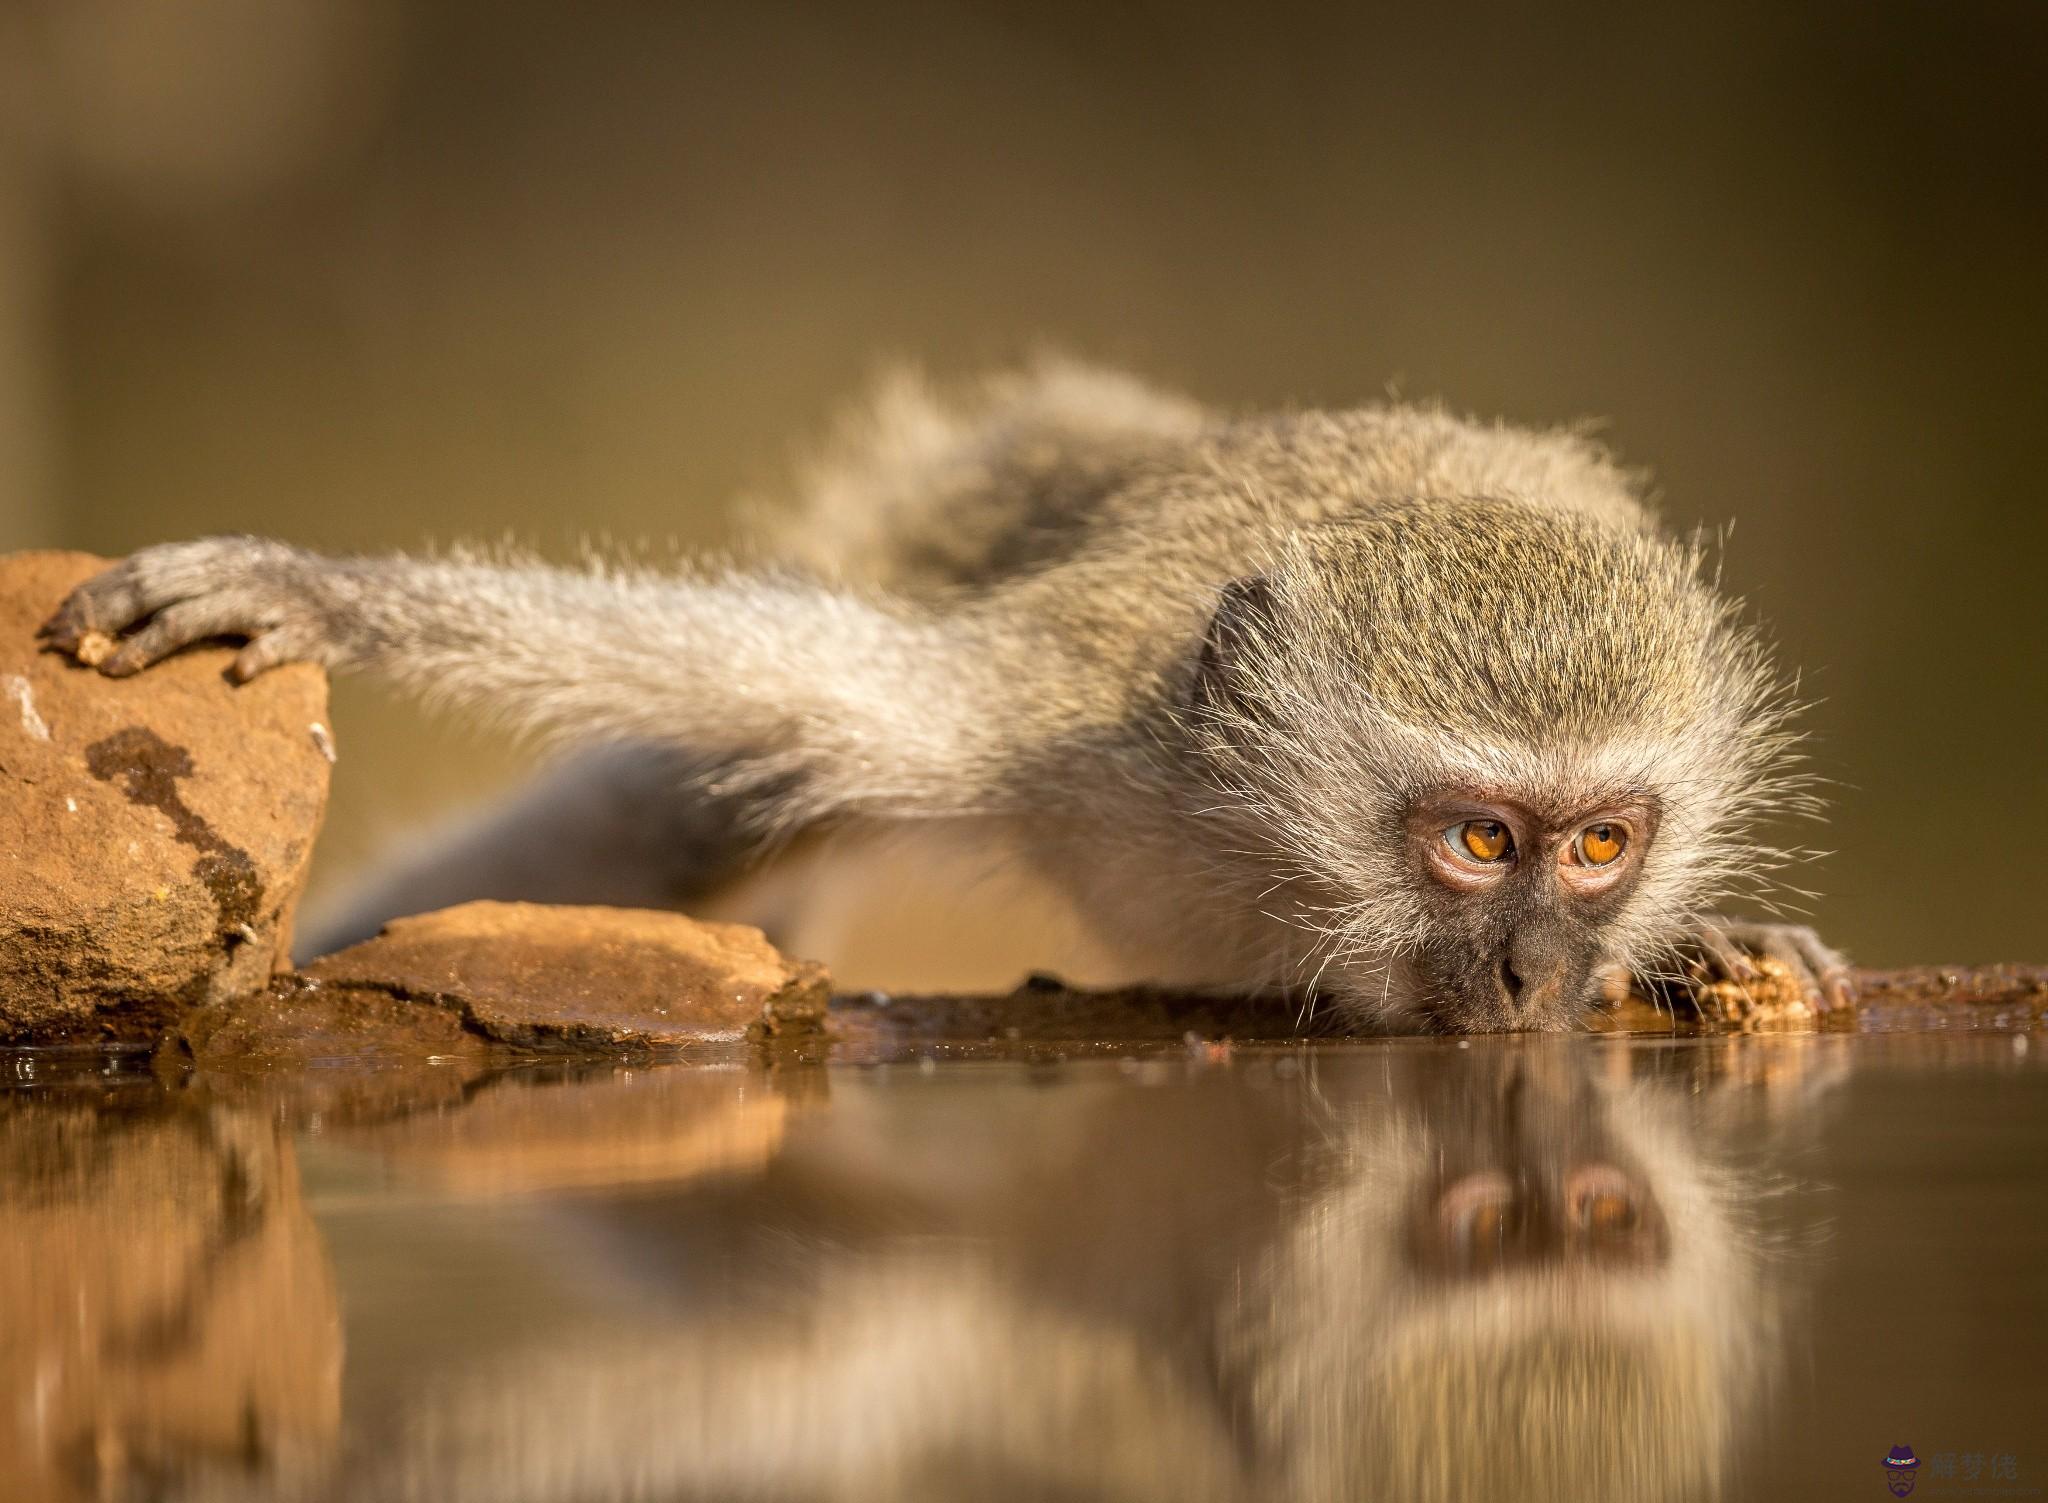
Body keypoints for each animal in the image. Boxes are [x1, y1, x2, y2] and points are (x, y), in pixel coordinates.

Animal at [39, 358, 1851, 1032]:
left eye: (1599, 844)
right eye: (1480, 841)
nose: (1542, 968)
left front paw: (1707, 938)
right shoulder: (1052, 714)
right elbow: (718, 672)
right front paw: (324, 587)